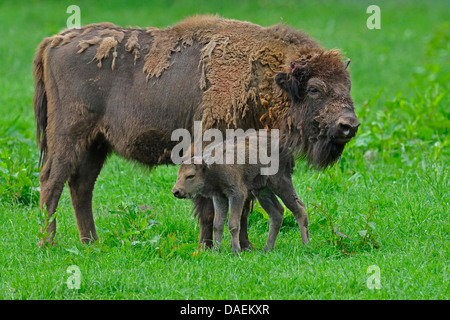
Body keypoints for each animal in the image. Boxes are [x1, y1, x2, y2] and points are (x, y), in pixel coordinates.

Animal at [172, 132, 310, 252]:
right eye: (178, 175)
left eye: (190, 175)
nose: (176, 191)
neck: (212, 167)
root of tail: (287, 149)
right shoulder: (219, 196)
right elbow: (218, 224)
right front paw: (216, 251)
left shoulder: (237, 194)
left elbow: (233, 224)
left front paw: (236, 251)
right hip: (262, 190)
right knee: (277, 213)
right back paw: (267, 249)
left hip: (280, 183)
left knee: (299, 208)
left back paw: (305, 245)